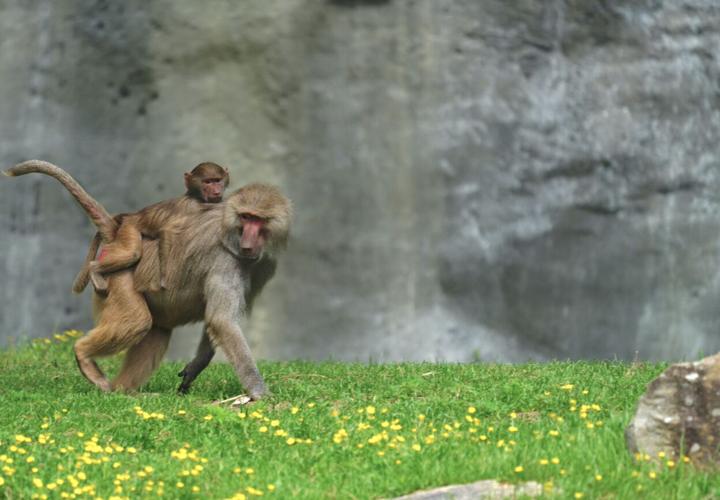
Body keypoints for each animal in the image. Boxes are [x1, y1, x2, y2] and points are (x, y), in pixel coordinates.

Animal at [72, 162, 230, 294]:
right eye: (207, 182)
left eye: (217, 181)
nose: (216, 191)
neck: (196, 197)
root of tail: (134, 215)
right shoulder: (192, 208)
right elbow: (166, 231)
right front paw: (164, 279)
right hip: (129, 228)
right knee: (133, 253)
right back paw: (94, 268)